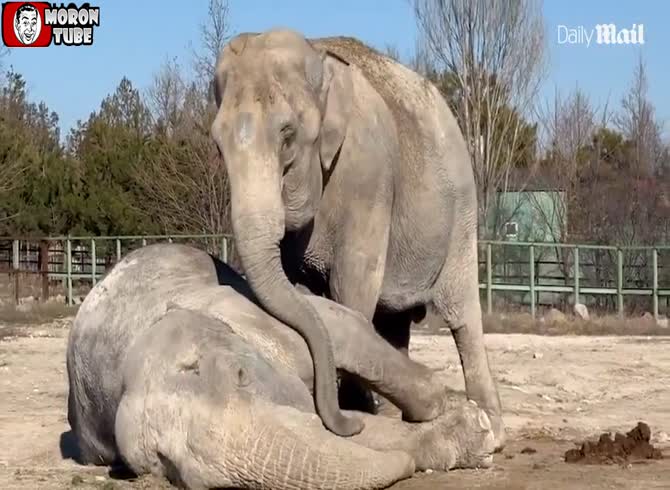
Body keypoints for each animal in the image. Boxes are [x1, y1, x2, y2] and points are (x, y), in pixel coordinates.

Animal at [66, 243, 495, 489]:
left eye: (241, 376)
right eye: (165, 464)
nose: (406, 468)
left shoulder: (247, 314)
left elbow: (342, 329)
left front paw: (468, 419)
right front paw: (472, 434)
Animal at [210, 28, 504, 443]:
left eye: (287, 135)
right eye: (217, 145)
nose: (350, 424)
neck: (319, 59)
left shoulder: (368, 174)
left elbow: (352, 282)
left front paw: (358, 410)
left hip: (461, 215)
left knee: (463, 315)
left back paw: (491, 427)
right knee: (394, 321)